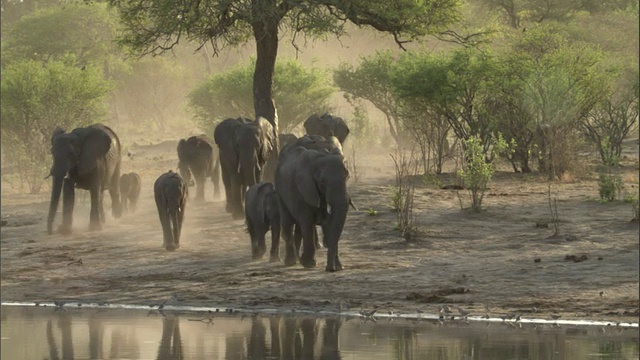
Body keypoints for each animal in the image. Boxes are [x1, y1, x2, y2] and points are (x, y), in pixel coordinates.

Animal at [276, 142, 352, 272]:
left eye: (347, 177)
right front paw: (309, 264)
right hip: (279, 189)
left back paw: (297, 259)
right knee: (288, 222)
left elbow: (330, 223)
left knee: (299, 226)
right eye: (322, 182)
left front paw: (339, 267)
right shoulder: (304, 189)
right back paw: (291, 262)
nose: (330, 269)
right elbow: (307, 221)